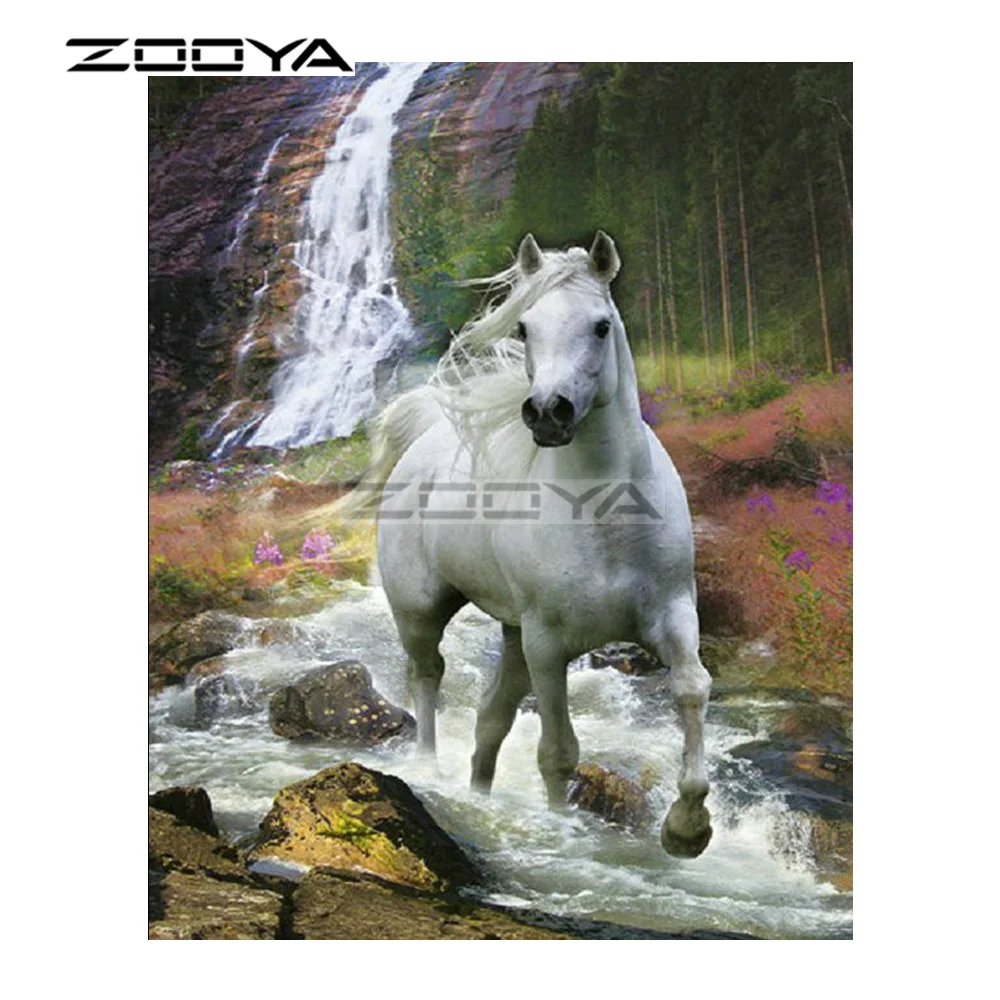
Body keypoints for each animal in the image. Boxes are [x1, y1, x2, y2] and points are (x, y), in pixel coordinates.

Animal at [350, 232, 713, 857]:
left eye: (600, 326)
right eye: (524, 328)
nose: (548, 412)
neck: (605, 517)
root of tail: (424, 436)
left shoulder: (673, 614)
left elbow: (691, 689)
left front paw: (687, 830)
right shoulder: (549, 644)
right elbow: (558, 753)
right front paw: (563, 833)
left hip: (512, 632)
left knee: (489, 721)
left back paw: (478, 794)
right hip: (422, 612)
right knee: (427, 676)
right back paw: (427, 770)